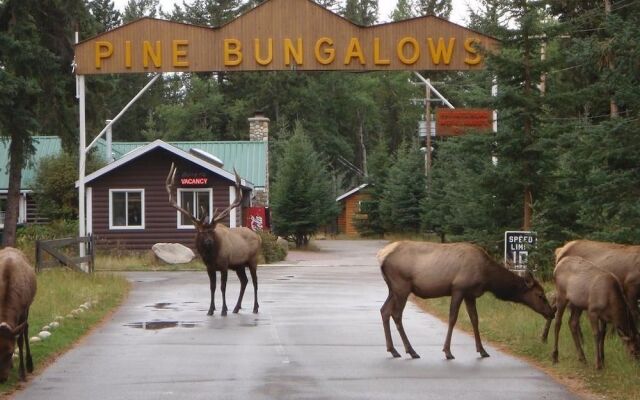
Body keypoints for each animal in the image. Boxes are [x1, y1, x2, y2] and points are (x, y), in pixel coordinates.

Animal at [0, 247, 37, 382]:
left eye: (10, 352)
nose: (2, 379)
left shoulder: (23, 310)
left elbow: (20, 340)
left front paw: (22, 372)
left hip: (28, 307)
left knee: (26, 329)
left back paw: (29, 365)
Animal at [168, 162, 264, 316]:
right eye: (201, 232)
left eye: (212, 231)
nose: (208, 242)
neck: (211, 256)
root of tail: (259, 236)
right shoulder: (209, 267)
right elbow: (212, 287)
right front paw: (211, 309)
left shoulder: (224, 265)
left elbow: (222, 287)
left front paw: (223, 310)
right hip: (239, 265)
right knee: (244, 281)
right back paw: (236, 307)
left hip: (253, 259)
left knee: (255, 281)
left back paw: (255, 308)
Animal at [378, 241, 552, 360]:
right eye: (540, 295)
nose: (551, 312)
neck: (488, 278)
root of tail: (381, 257)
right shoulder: (458, 288)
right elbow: (452, 318)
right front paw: (448, 351)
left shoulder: (470, 294)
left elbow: (475, 319)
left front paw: (482, 350)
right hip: (402, 286)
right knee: (396, 314)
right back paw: (411, 351)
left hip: (393, 289)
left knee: (384, 310)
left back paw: (393, 350)